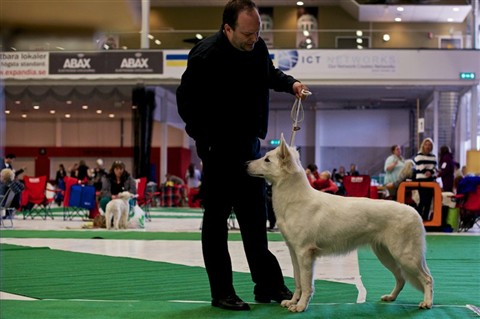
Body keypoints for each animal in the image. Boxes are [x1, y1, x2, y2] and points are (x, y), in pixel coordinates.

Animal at [246, 134, 434, 314]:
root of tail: (415, 213)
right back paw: (391, 297)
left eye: (267, 159)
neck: (294, 199)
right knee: (401, 278)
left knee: (427, 278)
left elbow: (306, 285)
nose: (245, 163)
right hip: (386, 255)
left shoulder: (305, 253)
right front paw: (293, 302)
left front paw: (300, 306)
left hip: (405, 256)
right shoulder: (294, 253)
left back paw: (427, 303)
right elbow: (298, 282)